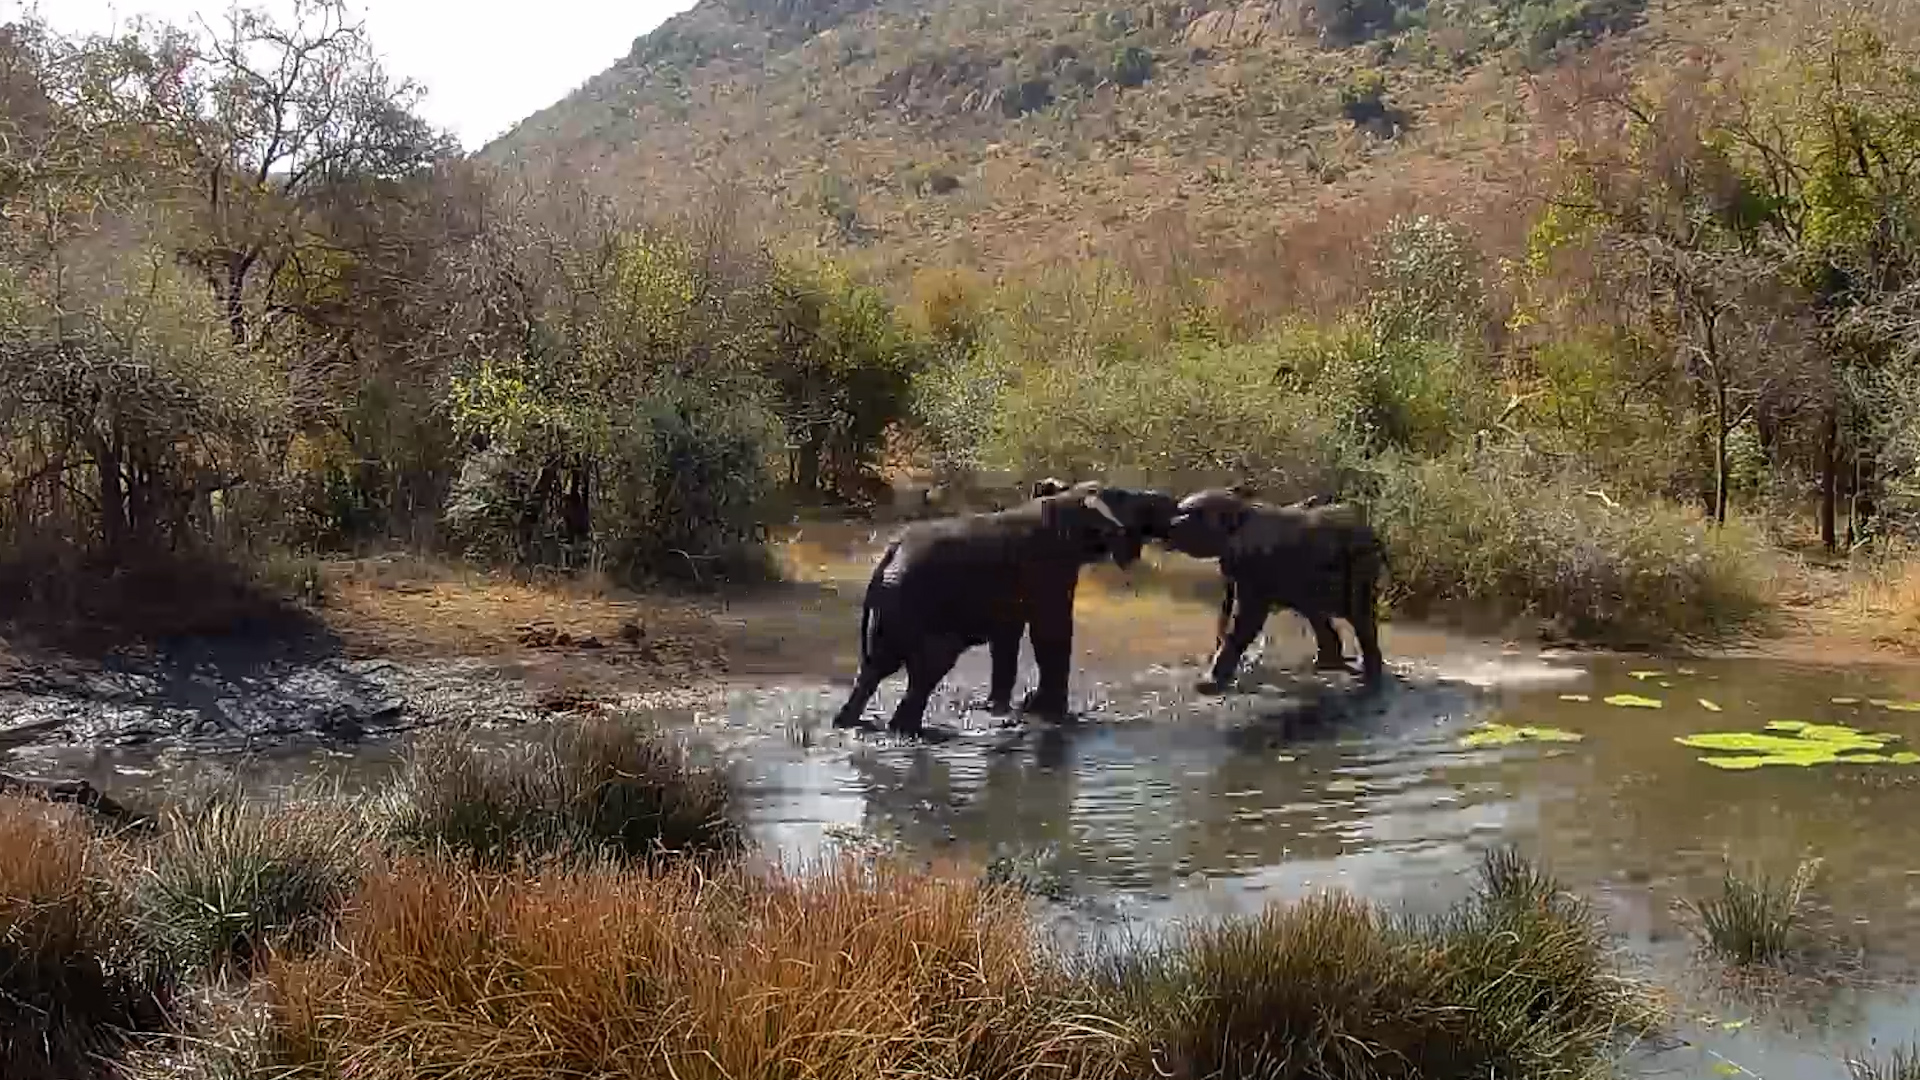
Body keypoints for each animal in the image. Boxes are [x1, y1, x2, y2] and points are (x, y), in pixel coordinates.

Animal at [830, 481, 1161, 736]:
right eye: (1125, 499)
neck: (1067, 501)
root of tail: (889, 554)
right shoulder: (1049, 568)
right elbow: (1051, 631)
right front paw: (1053, 715)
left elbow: (1009, 636)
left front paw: (1005, 709)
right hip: (913, 602)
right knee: (929, 665)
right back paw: (913, 732)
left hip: (890, 606)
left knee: (876, 667)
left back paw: (851, 724)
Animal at [1162, 486, 1388, 691]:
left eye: (1192, 514)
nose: (1169, 525)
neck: (1240, 506)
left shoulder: (1258, 563)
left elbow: (1248, 617)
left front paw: (1208, 685)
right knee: (1316, 613)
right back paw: (1324, 666)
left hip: (1358, 566)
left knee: (1358, 615)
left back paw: (1370, 679)